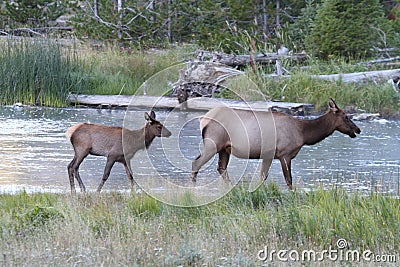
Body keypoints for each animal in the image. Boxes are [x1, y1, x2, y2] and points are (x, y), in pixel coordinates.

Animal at [191, 99, 360, 191]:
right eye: (346, 116)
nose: (357, 129)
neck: (304, 133)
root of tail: (202, 119)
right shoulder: (285, 154)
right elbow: (289, 179)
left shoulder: (268, 155)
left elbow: (262, 177)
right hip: (213, 143)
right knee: (196, 162)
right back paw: (193, 189)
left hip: (224, 148)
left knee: (221, 168)